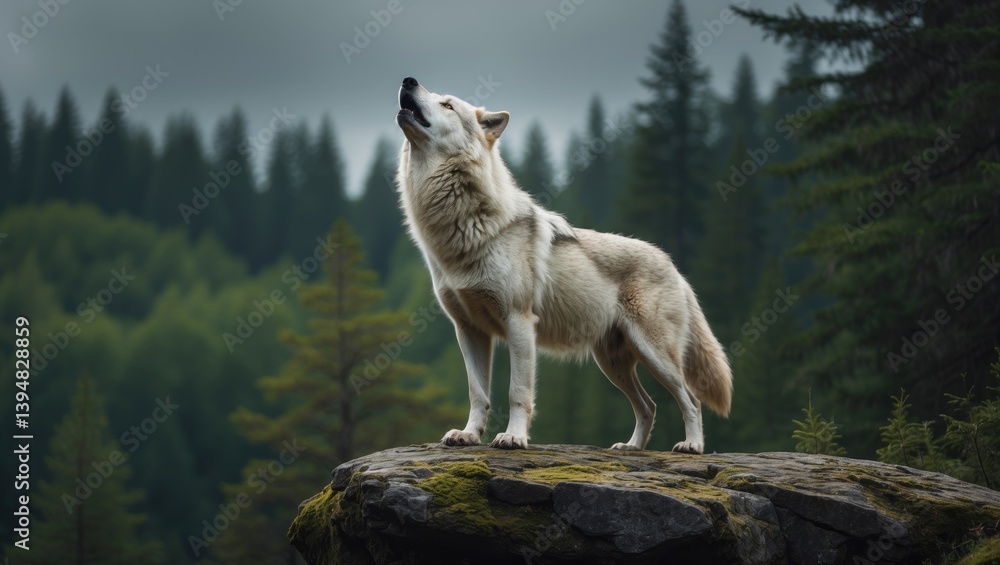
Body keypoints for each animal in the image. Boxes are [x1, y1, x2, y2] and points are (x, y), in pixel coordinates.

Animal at [395, 77, 732, 453]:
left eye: (448, 105)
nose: (408, 80)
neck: (464, 227)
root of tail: (674, 267)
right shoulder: (469, 331)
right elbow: (477, 393)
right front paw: (468, 435)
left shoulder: (519, 323)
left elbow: (517, 392)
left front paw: (513, 437)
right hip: (612, 364)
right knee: (649, 405)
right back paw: (631, 447)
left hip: (655, 355)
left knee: (691, 399)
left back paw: (692, 446)